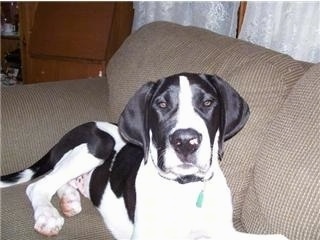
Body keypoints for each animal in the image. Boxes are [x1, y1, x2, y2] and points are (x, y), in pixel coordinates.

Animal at [0, 73, 286, 240]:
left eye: (207, 103)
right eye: (162, 104)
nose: (186, 142)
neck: (185, 189)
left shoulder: (223, 231)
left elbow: (279, 237)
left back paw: (69, 199)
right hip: (99, 143)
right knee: (38, 186)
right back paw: (48, 216)